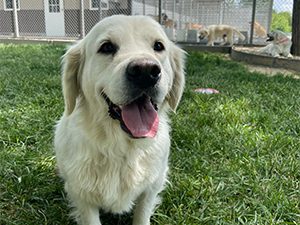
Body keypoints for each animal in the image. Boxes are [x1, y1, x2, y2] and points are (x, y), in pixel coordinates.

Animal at [54, 14, 185, 225]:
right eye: (107, 47)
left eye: (158, 46)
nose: (145, 71)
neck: (122, 147)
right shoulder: (81, 195)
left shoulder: (151, 187)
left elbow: (142, 214)